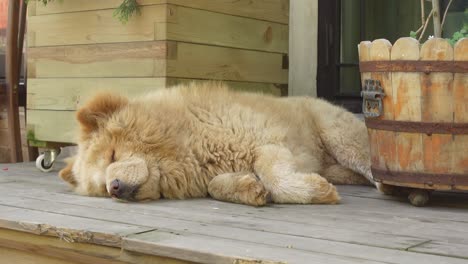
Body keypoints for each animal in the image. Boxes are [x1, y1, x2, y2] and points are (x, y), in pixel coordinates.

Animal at [59, 81, 388, 205]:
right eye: (102, 188)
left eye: (113, 155)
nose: (114, 188)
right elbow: (215, 185)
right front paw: (248, 189)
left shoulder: (270, 143)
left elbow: (276, 177)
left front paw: (317, 192)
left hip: (339, 138)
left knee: (370, 165)